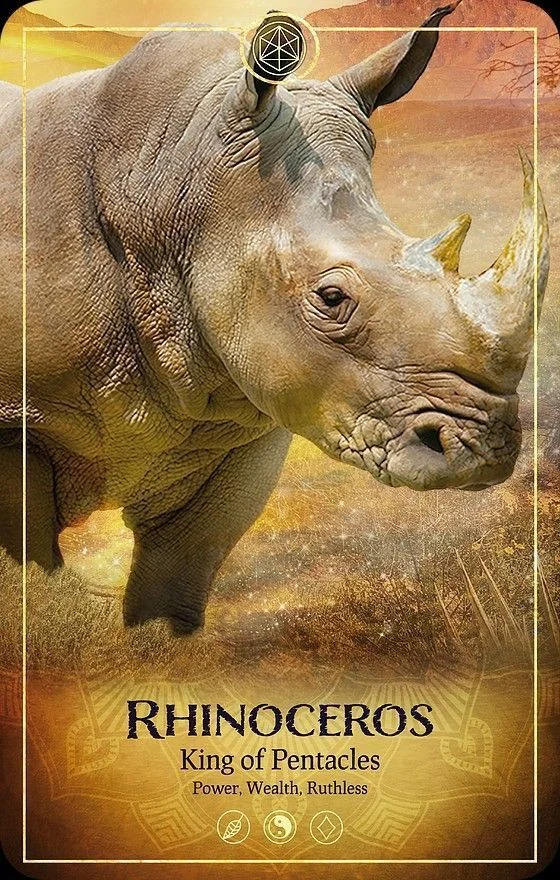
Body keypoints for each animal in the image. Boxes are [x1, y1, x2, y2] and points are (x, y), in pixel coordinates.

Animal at [0, 6, 549, 634]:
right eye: (331, 298)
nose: (487, 449)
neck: (173, 185)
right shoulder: (19, 417)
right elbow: (28, 563)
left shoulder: (249, 416)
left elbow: (181, 567)